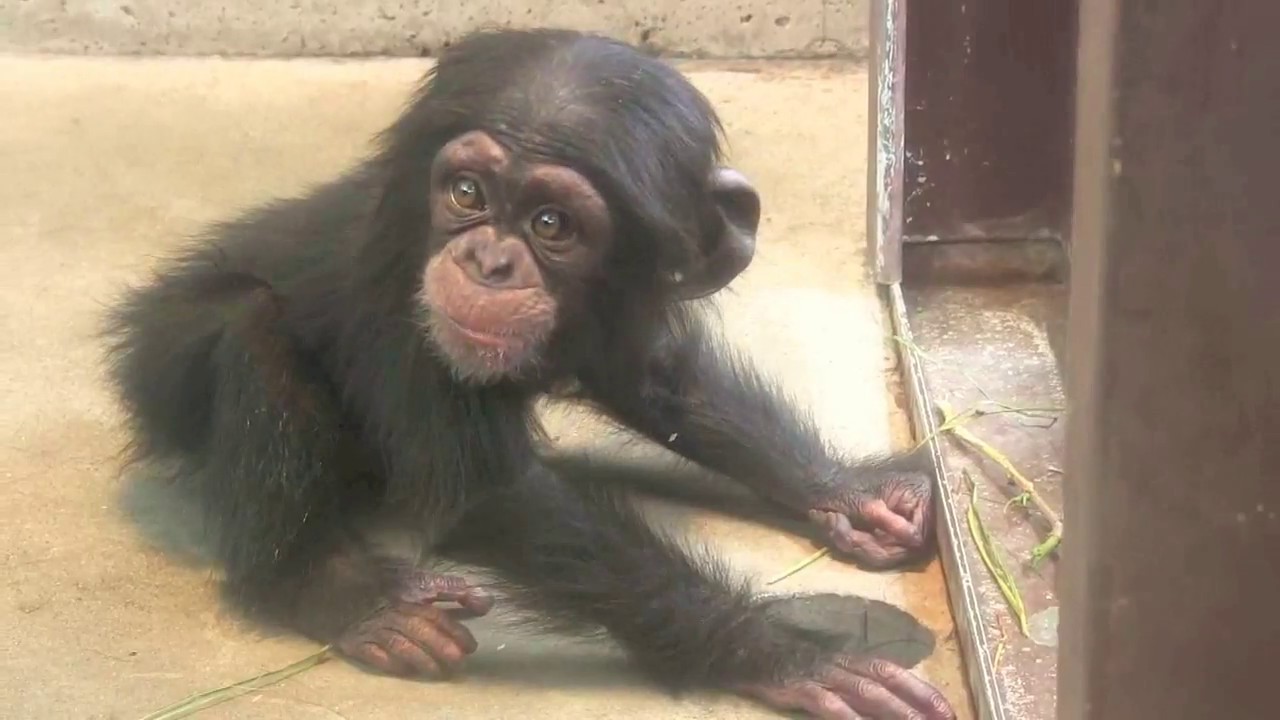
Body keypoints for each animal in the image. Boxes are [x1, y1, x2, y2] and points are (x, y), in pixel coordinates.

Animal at [102, 28, 953, 720]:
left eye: (552, 224)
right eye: (467, 193)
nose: (487, 261)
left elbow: (660, 380)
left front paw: (844, 491)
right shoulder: (399, 300)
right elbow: (491, 493)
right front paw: (779, 653)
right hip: (162, 372)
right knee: (253, 328)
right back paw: (335, 590)